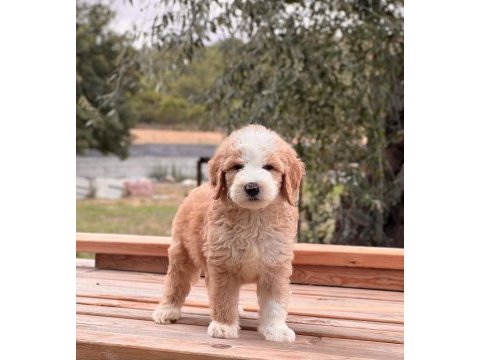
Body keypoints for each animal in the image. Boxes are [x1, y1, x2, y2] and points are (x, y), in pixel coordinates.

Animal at [152, 125, 306, 342]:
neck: (253, 218)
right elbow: (223, 296)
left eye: (269, 167)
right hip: (181, 253)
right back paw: (167, 310)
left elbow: (274, 303)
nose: (252, 187)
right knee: (176, 281)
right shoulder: (223, 264)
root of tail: (197, 188)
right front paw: (224, 326)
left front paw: (276, 329)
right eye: (237, 167)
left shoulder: (275, 264)